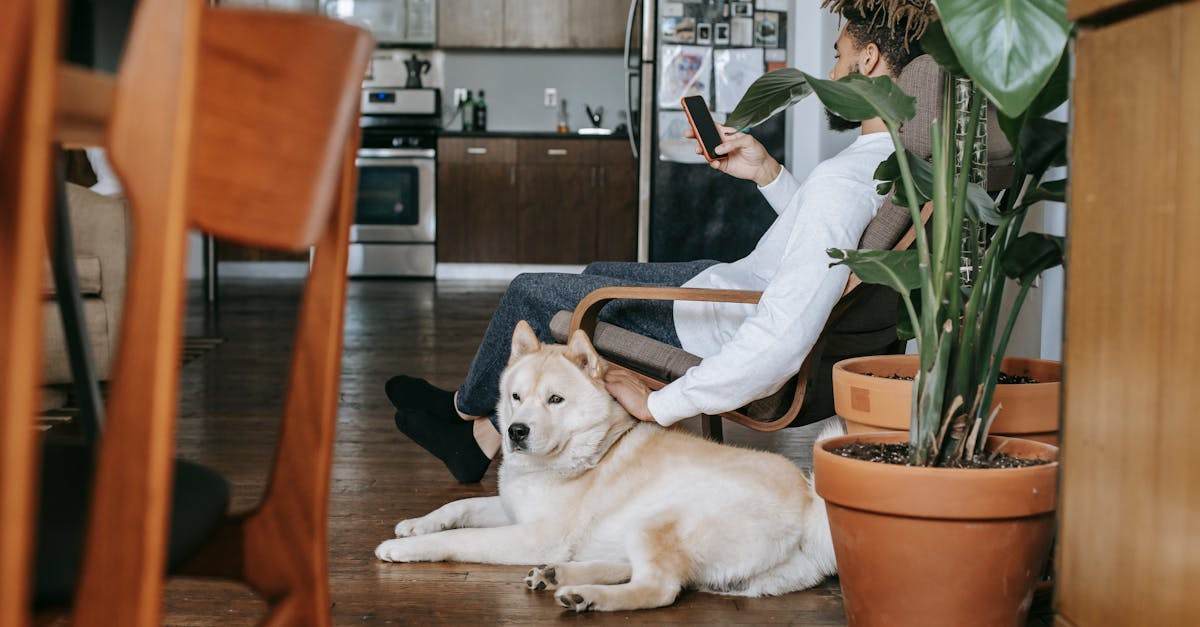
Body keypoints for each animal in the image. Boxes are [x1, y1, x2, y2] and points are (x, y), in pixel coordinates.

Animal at [374, 321, 835, 610]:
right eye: (516, 397)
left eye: (555, 400)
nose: (516, 432)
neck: (591, 450)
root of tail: (810, 501)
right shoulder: (511, 509)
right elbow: (459, 508)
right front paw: (415, 524)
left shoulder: (534, 535)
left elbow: (462, 538)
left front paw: (404, 548)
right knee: (635, 569)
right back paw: (559, 576)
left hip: (657, 519)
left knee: (659, 588)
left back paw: (586, 596)